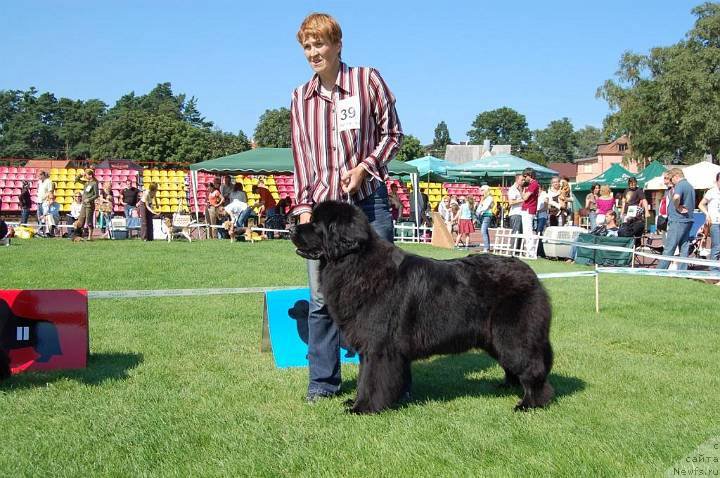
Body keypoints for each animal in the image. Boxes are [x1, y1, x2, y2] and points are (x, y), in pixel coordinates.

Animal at [290, 200, 556, 412]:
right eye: (310, 220)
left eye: (316, 224)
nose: (292, 227)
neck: (355, 262)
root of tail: (530, 273)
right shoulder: (369, 344)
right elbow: (364, 376)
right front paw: (356, 401)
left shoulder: (379, 346)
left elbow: (372, 379)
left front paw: (362, 407)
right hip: (495, 338)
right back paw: (506, 387)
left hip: (513, 335)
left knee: (532, 367)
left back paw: (530, 403)